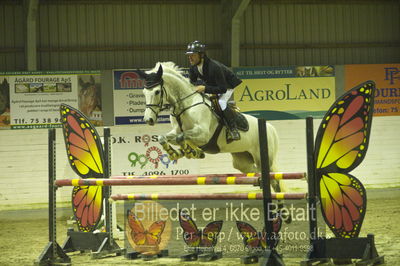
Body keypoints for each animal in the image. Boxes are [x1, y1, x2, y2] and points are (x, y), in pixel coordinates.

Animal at [138, 61, 284, 195]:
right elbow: (164, 138)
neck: (186, 104)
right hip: (242, 160)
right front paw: (179, 153)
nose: (148, 120)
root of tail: (269, 127)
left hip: (263, 158)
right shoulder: (176, 131)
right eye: (144, 92)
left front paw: (190, 152)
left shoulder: (203, 135)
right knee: (256, 173)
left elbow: (181, 137)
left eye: (157, 92)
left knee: (274, 180)